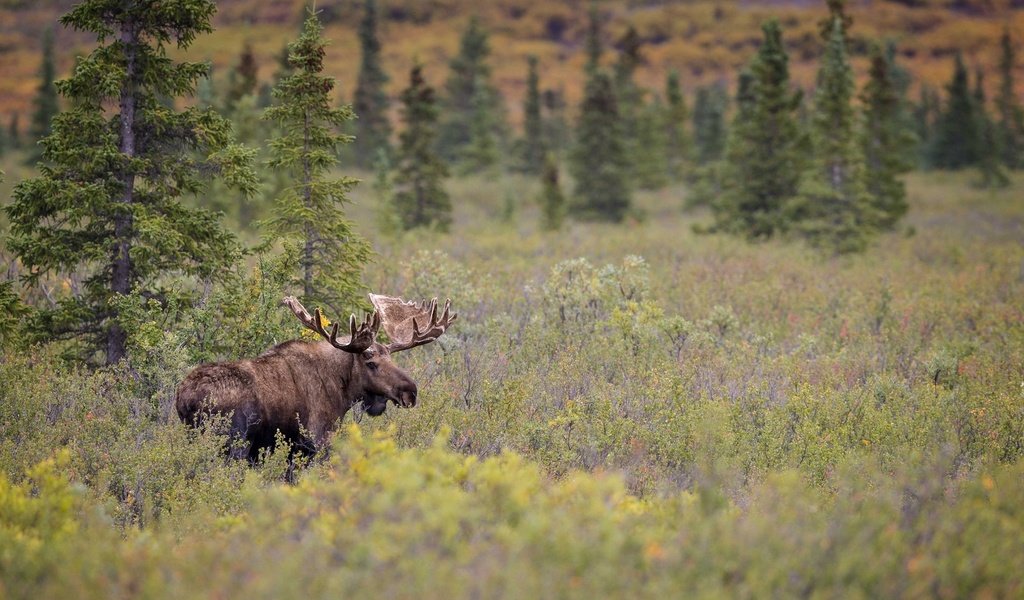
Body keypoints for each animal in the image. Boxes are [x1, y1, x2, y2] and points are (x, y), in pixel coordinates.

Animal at [176, 292, 456, 458]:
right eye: (371, 362)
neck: (342, 388)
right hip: (233, 443)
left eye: (391, 358)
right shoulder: (318, 440)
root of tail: (184, 399)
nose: (411, 392)